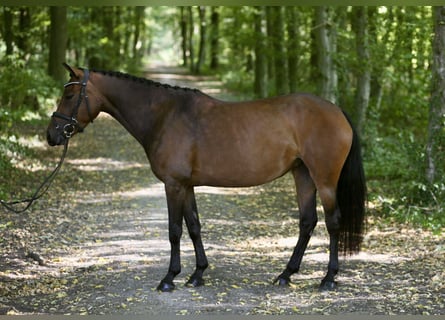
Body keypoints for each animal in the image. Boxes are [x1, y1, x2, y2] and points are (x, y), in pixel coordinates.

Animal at [46, 63, 366, 292]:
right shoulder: (186, 186)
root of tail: (337, 110)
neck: (165, 116)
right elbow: (194, 227)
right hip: (303, 175)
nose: (51, 135)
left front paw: (169, 278)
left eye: (70, 95)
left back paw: (328, 279)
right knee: (307, 222)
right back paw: (286, 274)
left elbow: (174, 230)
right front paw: (197, 274)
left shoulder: (173, 185)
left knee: (332, 222)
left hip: (324, 179)